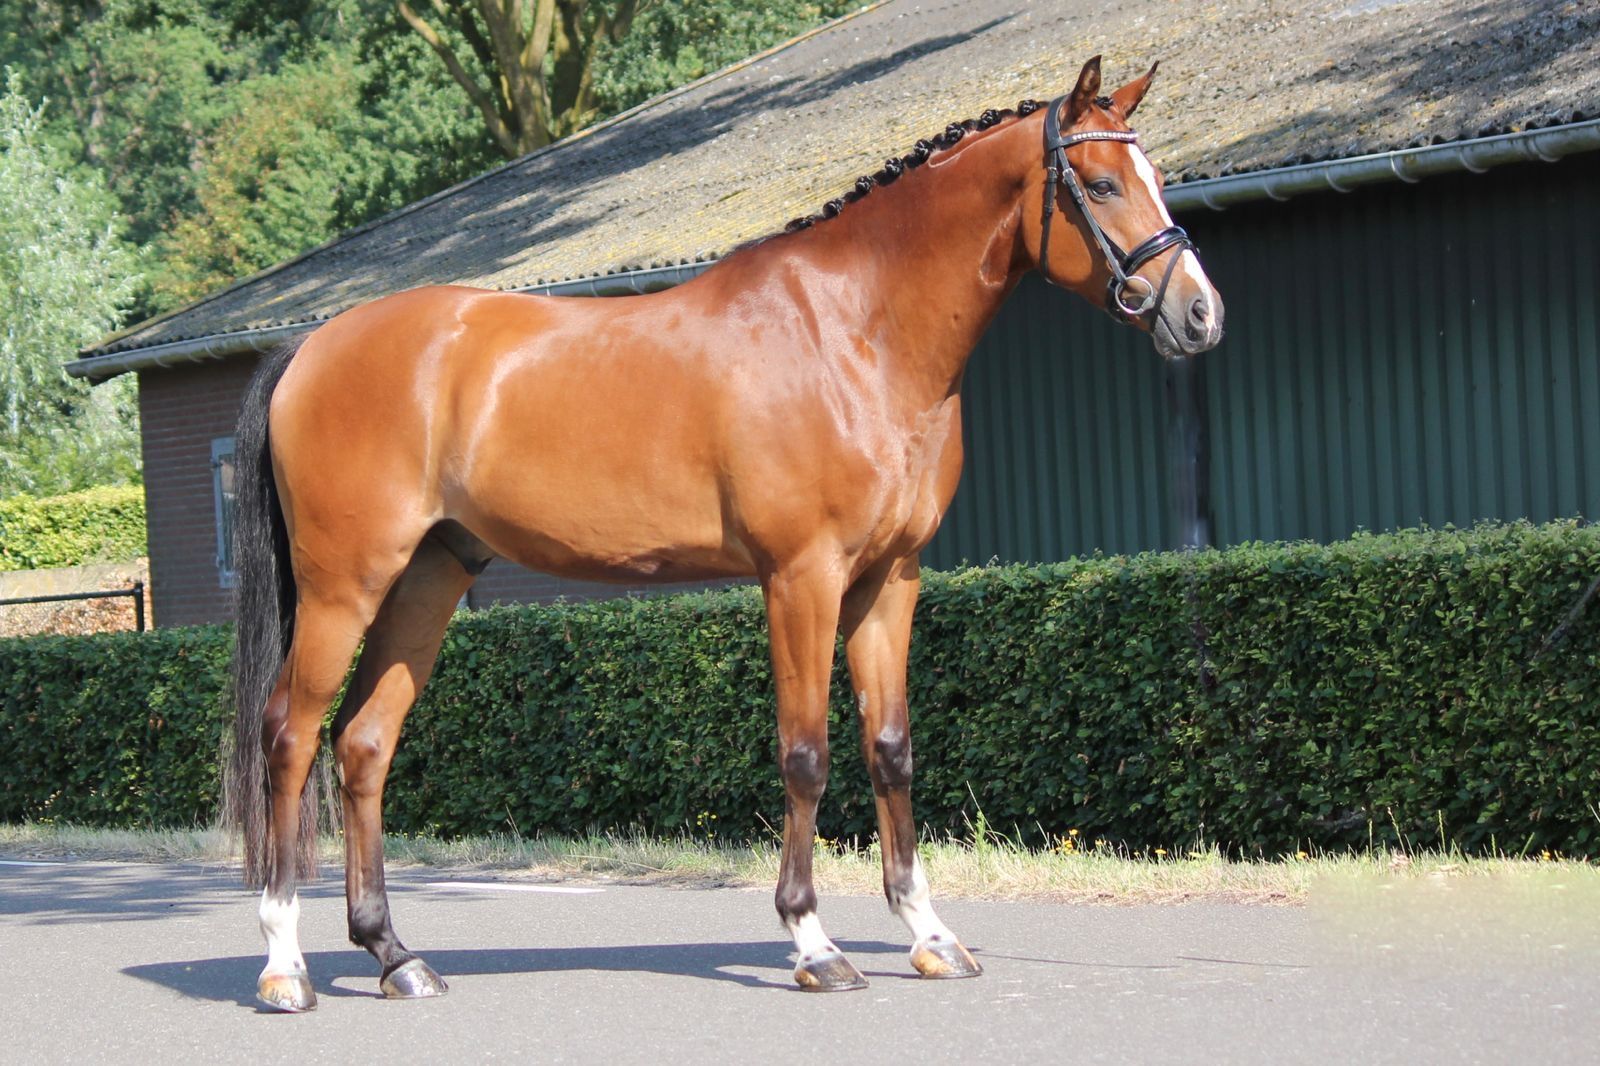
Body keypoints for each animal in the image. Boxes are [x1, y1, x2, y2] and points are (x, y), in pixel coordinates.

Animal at [224, 55, 1224, 1011]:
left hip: (428, 576)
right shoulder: (801, 577)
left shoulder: (889, 579)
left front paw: (930, 936)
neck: (856, 334)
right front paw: (814, 945)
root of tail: (310, 347)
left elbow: (891, 751)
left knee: (364, 745)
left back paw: (395, 957)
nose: (1201, 314)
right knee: (289, 737)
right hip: (345, 586)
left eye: (1155, 175)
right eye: (1101, 184)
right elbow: (806, 755)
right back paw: (284, 967)